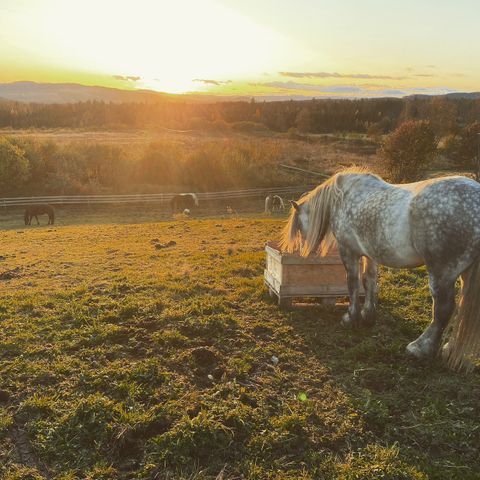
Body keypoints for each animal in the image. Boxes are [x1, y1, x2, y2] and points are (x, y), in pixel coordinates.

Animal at [284, 169, 480, 372]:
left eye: (299, 227)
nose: (303, 251)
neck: (343, 196)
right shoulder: (370, 253)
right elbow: (369, 281)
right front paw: (368, 316)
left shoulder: (349, 251)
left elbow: (353, 283)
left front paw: (351, 318)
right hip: (465, 274)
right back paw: (449, 349)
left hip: (442, 273)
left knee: (443, 309)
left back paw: (420, 348)